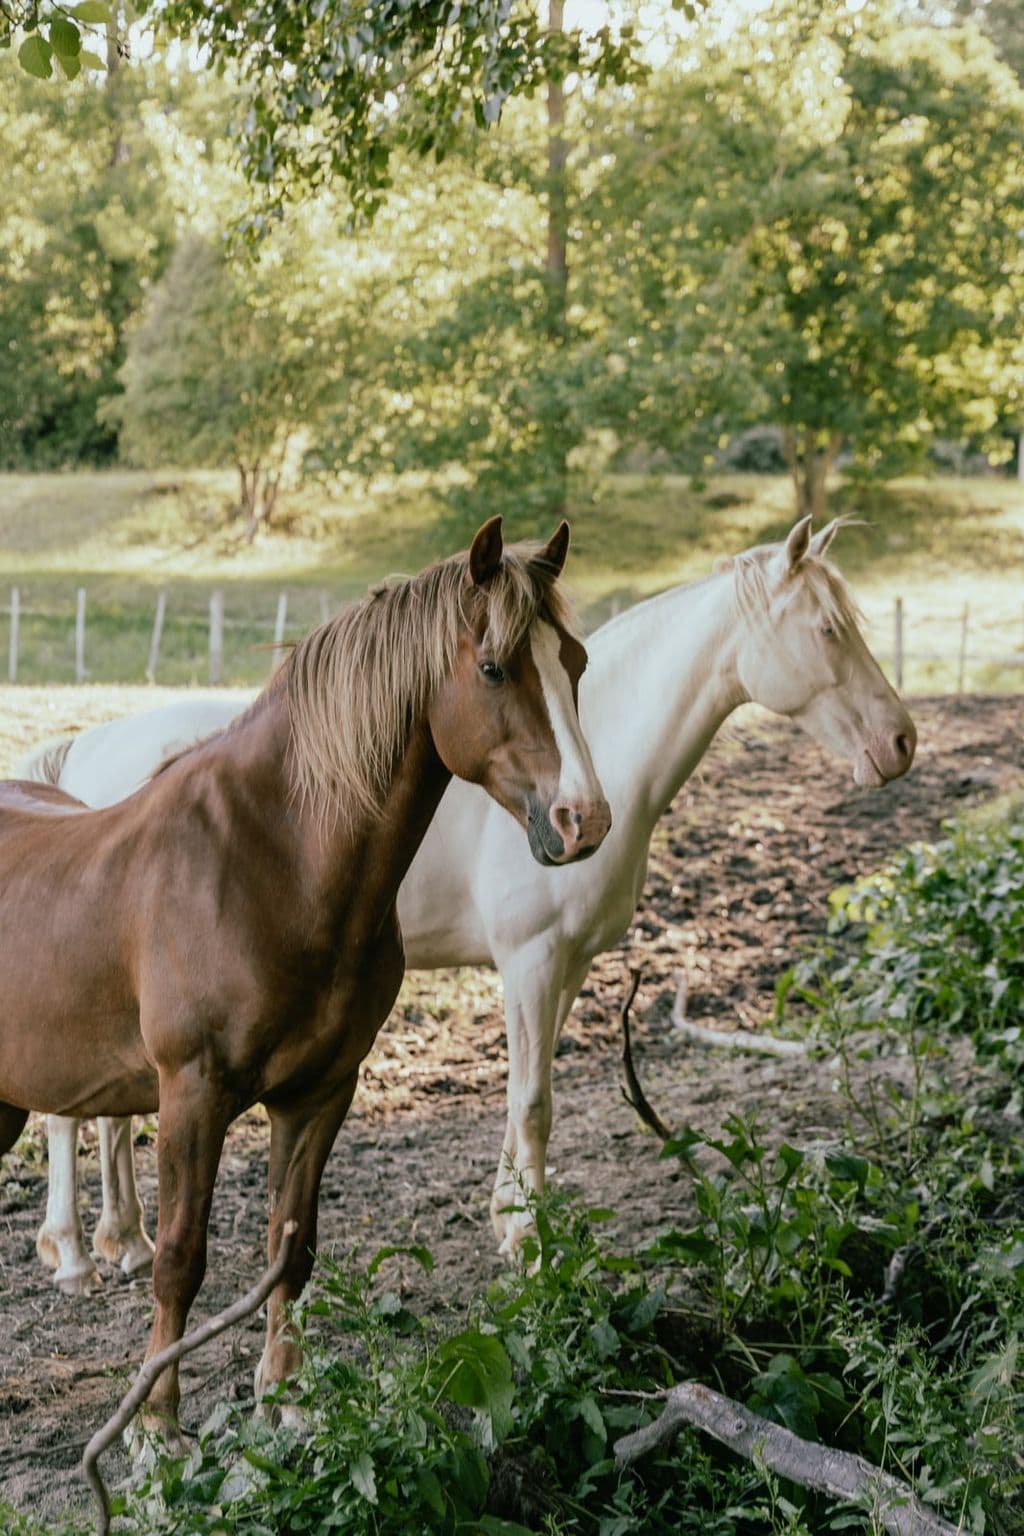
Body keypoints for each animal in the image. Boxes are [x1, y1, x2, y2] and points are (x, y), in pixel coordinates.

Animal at [0, 516, 611, 1445]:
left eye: (573, 662)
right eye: (495, 668)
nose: (585, 822)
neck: (273, 863)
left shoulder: (321, 1090)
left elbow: (292, 1246)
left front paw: (285, 1399)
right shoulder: (193, 1094)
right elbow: (180, 1258)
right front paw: (157, 1430)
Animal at [29, 514, 915, 1281]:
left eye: (577, 664)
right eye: (828, 630)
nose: (901, 742)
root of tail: (88, 752)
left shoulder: (566, 970)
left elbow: (534, 1093)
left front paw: (512, 1212)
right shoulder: (529, 964)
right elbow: (533, 1100)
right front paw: (526, 1238)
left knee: (106, 1113)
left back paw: (126, 1240)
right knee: (71, 1113)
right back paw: (73, 1251)